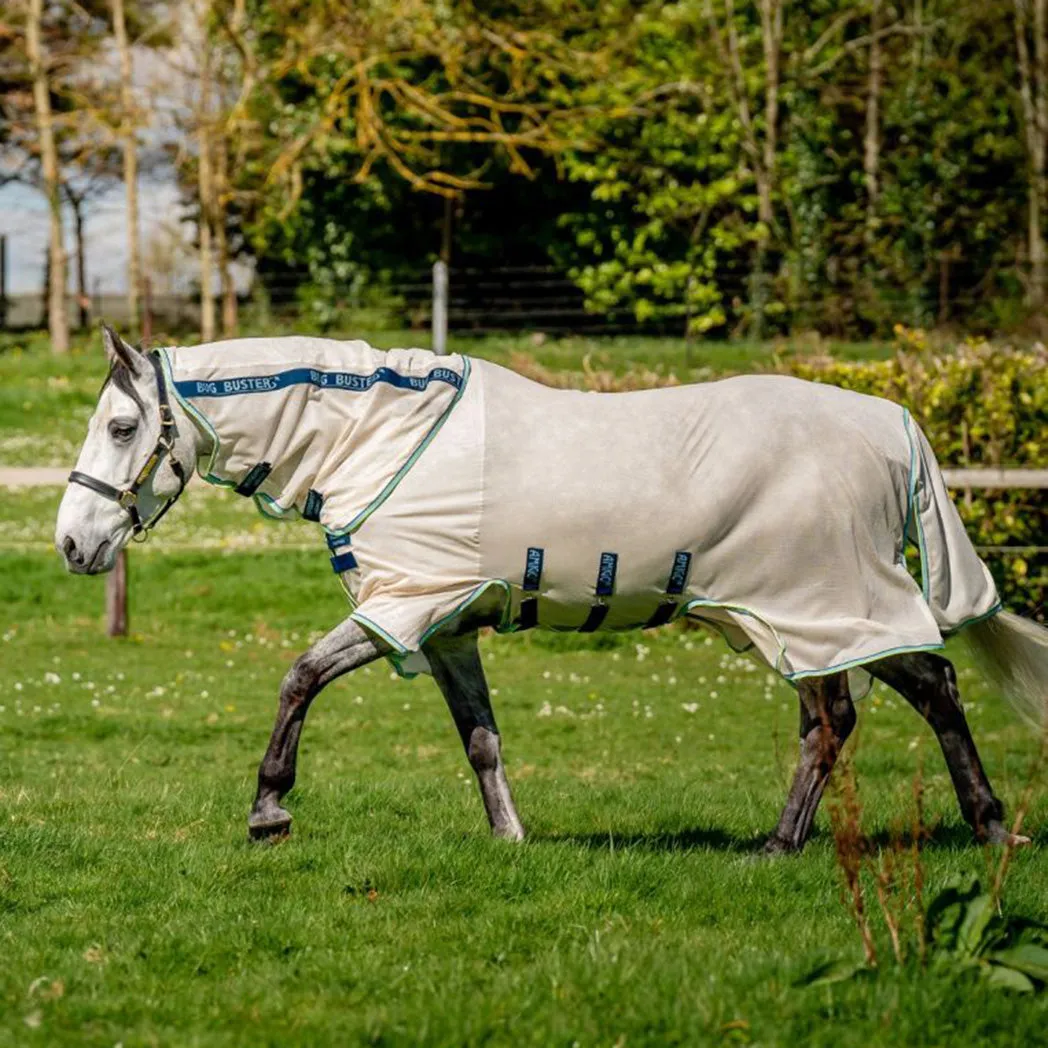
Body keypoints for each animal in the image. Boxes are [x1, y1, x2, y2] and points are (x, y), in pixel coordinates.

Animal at [55, 326, 1048, 850]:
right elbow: (481, 739)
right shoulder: (447, 628)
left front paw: (269, 810)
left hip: (815, 609)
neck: (377, 439)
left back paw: (815, 841)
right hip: (807, 619)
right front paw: (511, 839)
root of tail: (890, 422)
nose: (73, 543)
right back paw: (950, 828)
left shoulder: (401, 607)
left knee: (865, 708)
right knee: (891, 700)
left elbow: (298, 676)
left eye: (121, 426)